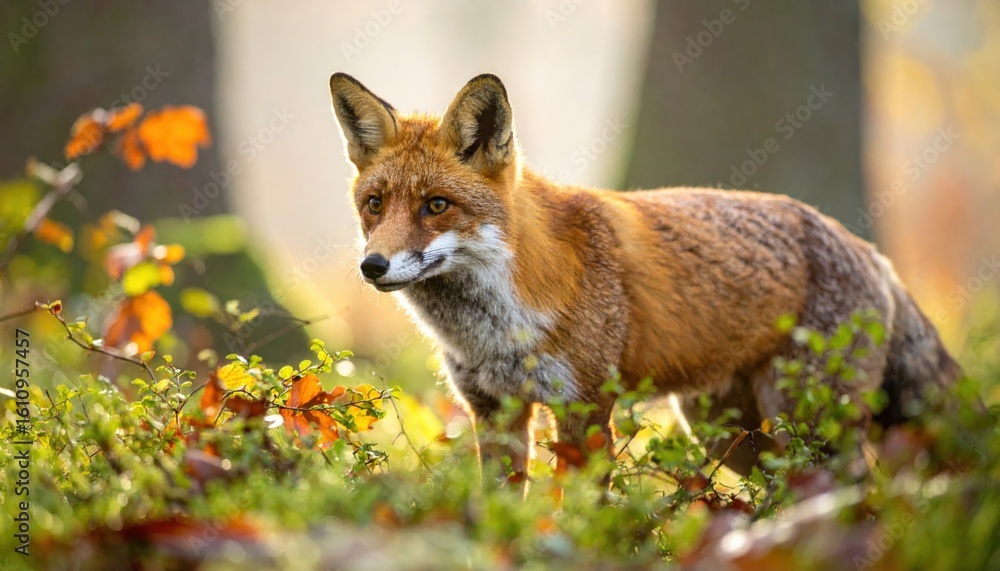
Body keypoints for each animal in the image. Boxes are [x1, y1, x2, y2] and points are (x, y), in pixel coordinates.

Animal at [328, 72, 961, 480]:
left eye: (436, 206)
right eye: (375, 205)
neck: (498, 328)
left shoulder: (584, 409)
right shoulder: (494, 410)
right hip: (732, 436)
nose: (372, 266)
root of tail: (869, 250)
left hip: (809, 426)